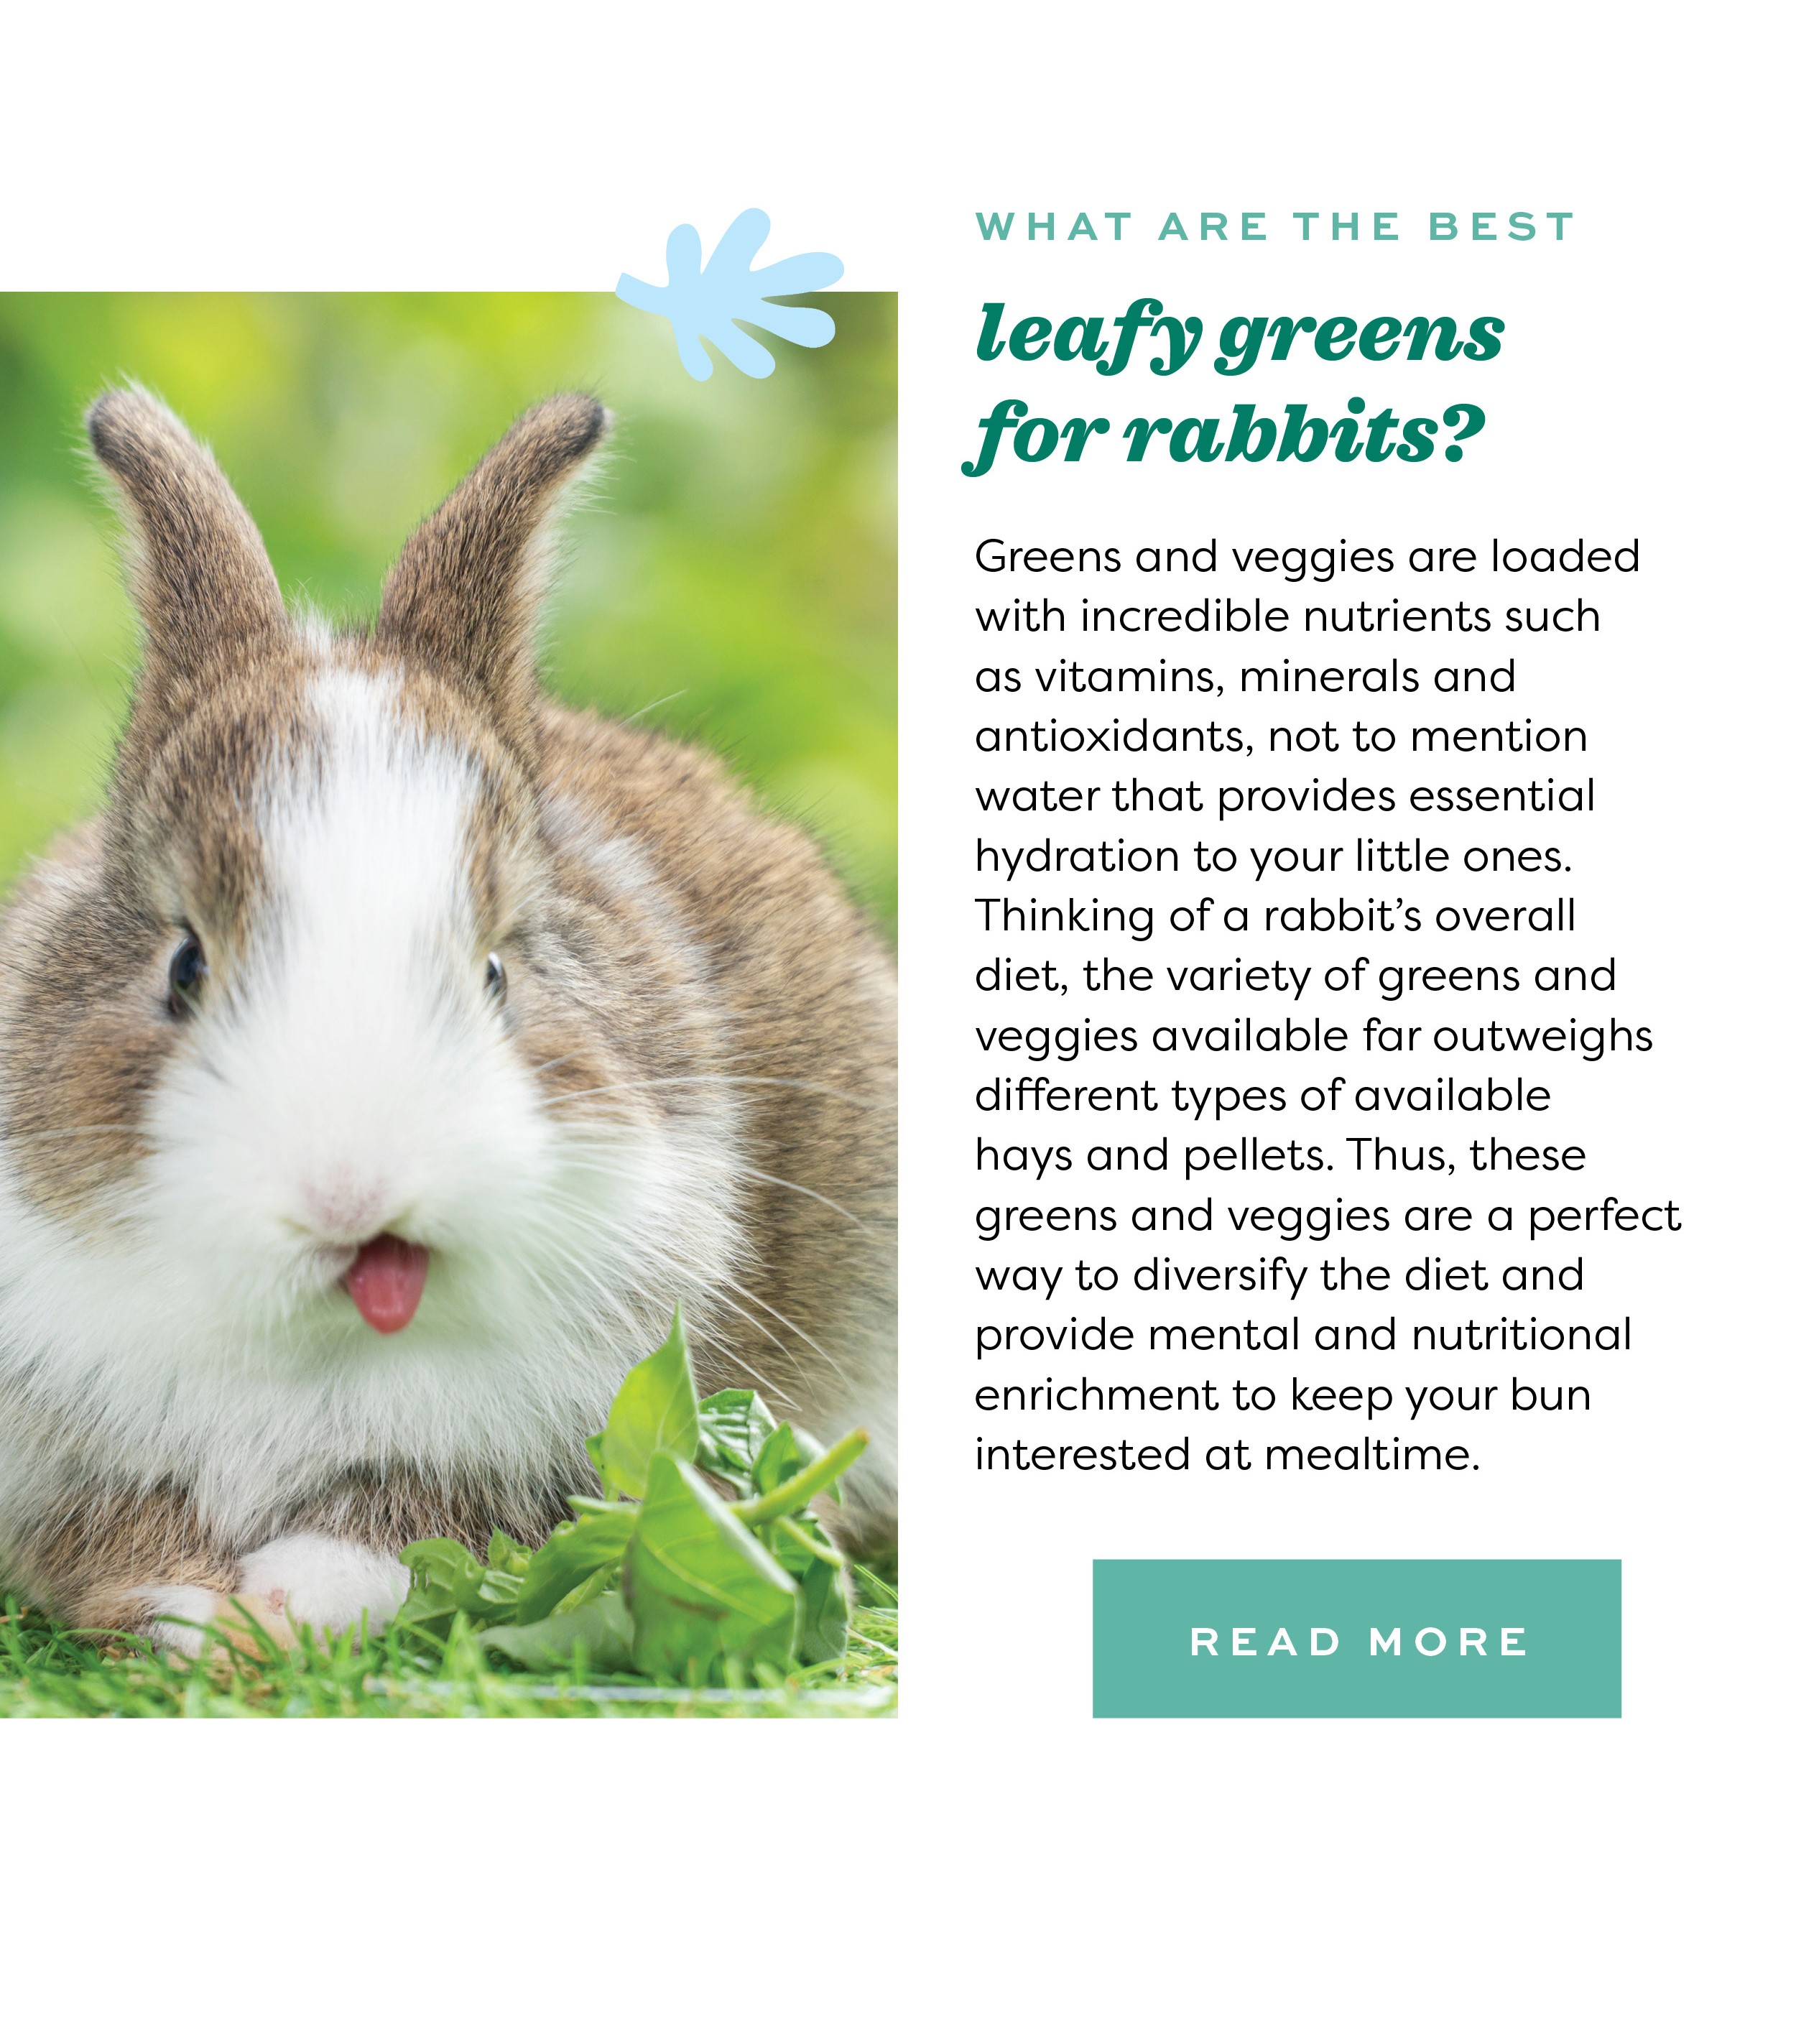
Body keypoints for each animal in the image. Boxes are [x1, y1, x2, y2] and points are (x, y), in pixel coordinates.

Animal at [0, 388, 895, 1651]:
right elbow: (116, 1536)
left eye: (498, 974)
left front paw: (292, 1604)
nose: (352, 1194)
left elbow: (410, 1529)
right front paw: (196, 1614)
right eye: (182, 966)